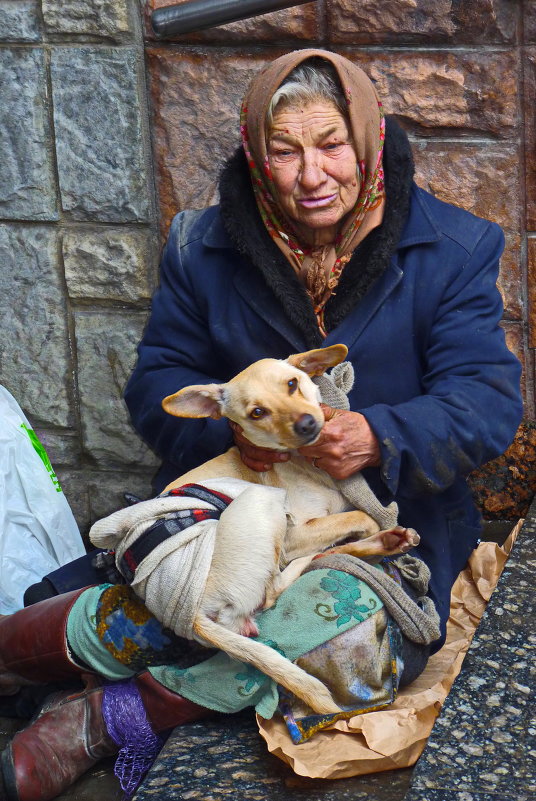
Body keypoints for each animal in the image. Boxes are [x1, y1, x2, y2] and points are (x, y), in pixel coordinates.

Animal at [159, 344, 418, 712]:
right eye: (257, 412)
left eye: (293, 384)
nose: (308, 423)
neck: (307, 463)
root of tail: (189, 613)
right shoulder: (297, 531)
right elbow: (360, 517)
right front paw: (373, 527)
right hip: (265, 513)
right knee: (278, 586)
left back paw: (387, 542)